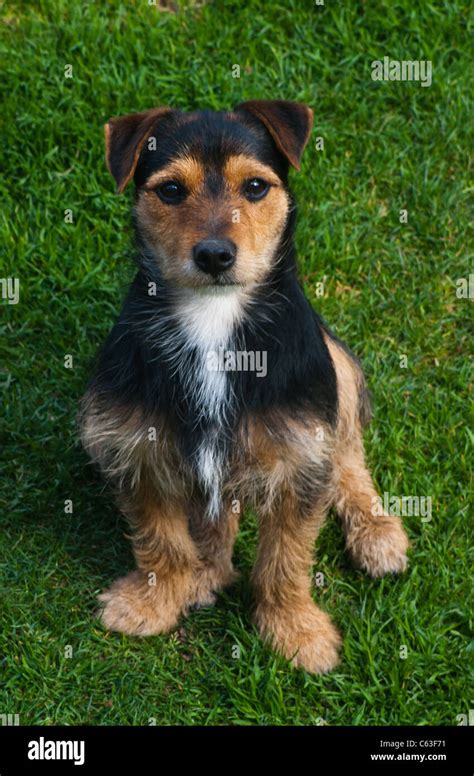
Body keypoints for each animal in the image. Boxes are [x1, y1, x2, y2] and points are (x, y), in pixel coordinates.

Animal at [79, 98, 410, 672]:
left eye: (255, 187)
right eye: (171, 190)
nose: (214, 255)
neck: (214, 320)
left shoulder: (301, 453)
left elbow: (286, 557)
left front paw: (296, 631)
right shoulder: (134, 443)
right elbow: (161, 538)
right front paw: (153, 600)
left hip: (336, 367)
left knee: (348, 455)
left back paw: (377, 532)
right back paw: (207, 569)